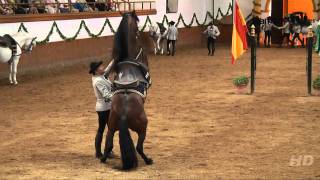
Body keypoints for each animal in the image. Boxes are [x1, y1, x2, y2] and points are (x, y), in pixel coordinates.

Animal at [101, 10, 154, 170]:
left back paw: (104, 159)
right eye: (137, 28)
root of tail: (124, 113)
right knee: (139, 147)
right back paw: (148, 160)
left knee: (108, 145)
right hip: (143, 127)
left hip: (111, 127)